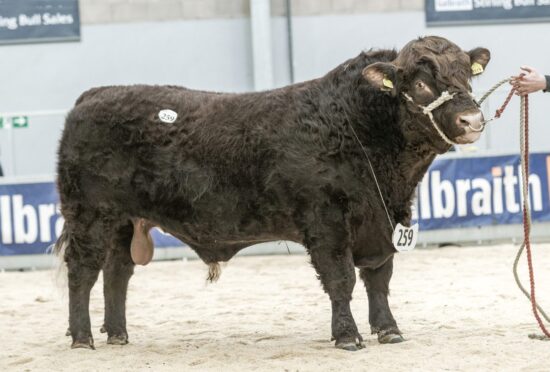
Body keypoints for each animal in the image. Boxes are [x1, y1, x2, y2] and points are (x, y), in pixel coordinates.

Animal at [56, 35, 494, 352]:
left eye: (467, 77)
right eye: (420, 83)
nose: (472, 119)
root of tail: (93, 95)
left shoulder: (385, 221)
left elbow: (379, 279)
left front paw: (389, 330)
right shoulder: (326, 221)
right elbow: (341, 280)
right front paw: (347, 335)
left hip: (123, 221)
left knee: (117, 273)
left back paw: (117, 334)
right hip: (89, 214)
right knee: (83, 272)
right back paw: (83, 338)